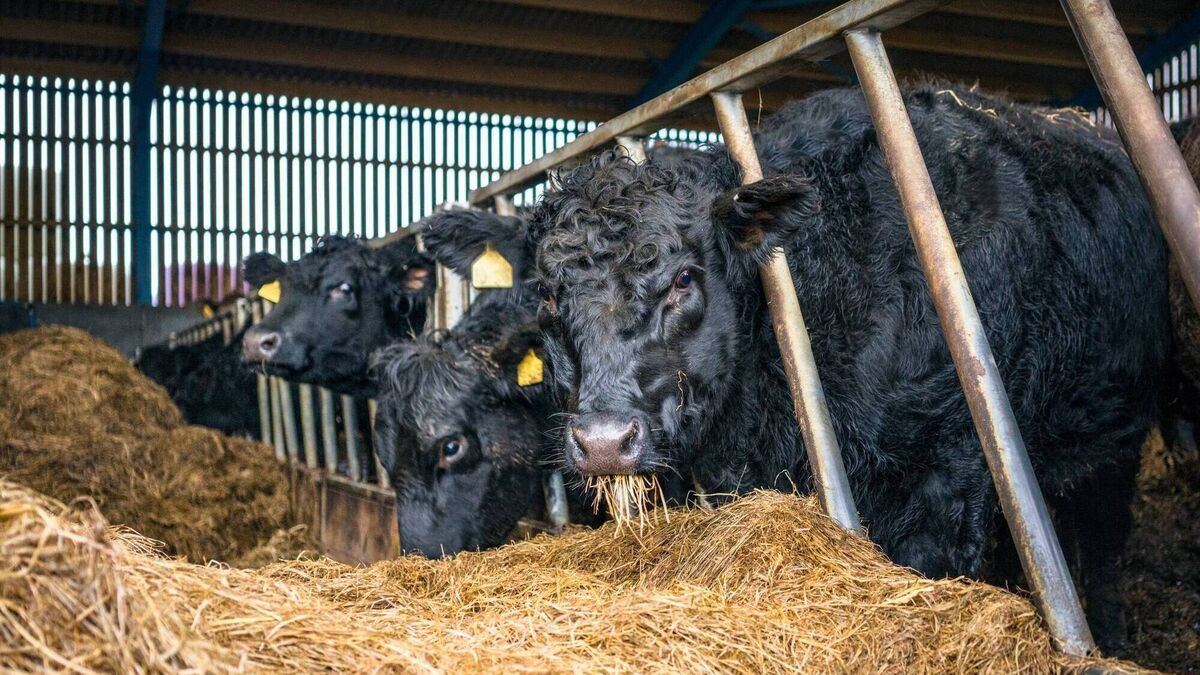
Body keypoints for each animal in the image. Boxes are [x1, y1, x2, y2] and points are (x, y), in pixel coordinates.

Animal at [527, 84, 1170, 653]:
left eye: (684, 277)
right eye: (548, 295)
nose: (604, 441)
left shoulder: (953, 470)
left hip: (1114, 440)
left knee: (1102, 544)